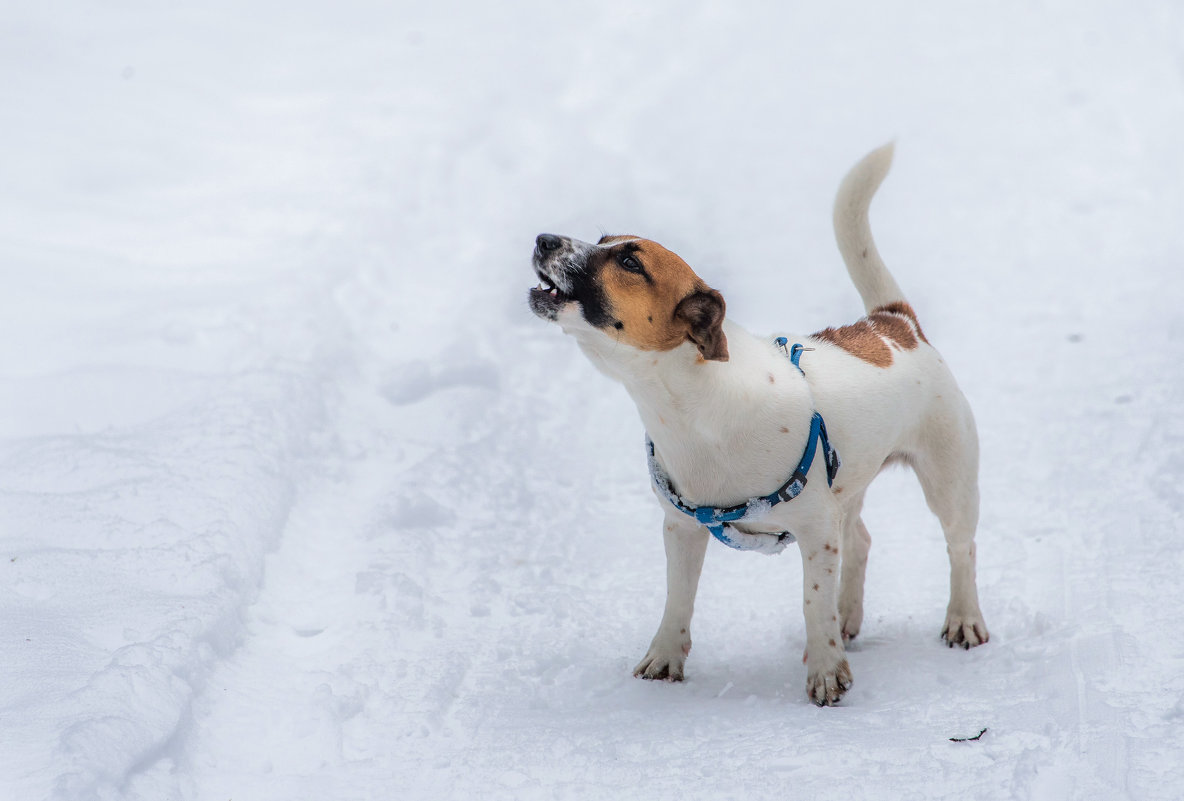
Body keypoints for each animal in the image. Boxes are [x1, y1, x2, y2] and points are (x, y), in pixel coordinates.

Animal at [530, 145, 989, 705]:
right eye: (601, 241)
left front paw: (826, 673)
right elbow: (678, 599)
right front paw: (664, 659)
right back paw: (848, 617)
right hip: (848, 485)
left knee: (960, 548)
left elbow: (813, 602)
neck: (696, 409)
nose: (543, 238)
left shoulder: (815, 529)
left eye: (630, 262)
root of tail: (894, 324)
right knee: (860, 539)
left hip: (949, 479)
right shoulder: (682, 528)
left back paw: (963, 619)